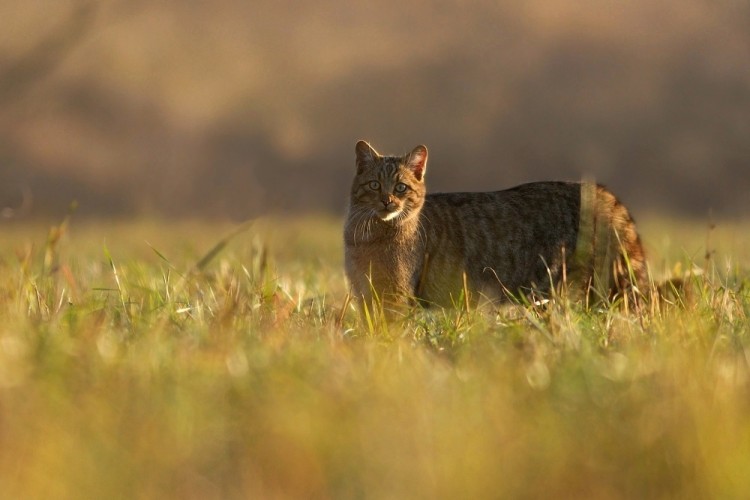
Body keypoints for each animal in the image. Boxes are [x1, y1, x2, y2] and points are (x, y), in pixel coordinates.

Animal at [344, 141, 648, 312]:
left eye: (401, 187)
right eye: (374, 185)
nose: (387, 201)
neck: (368, 236)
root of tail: (599, 191)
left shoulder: (395, 295)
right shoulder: (365, 294)